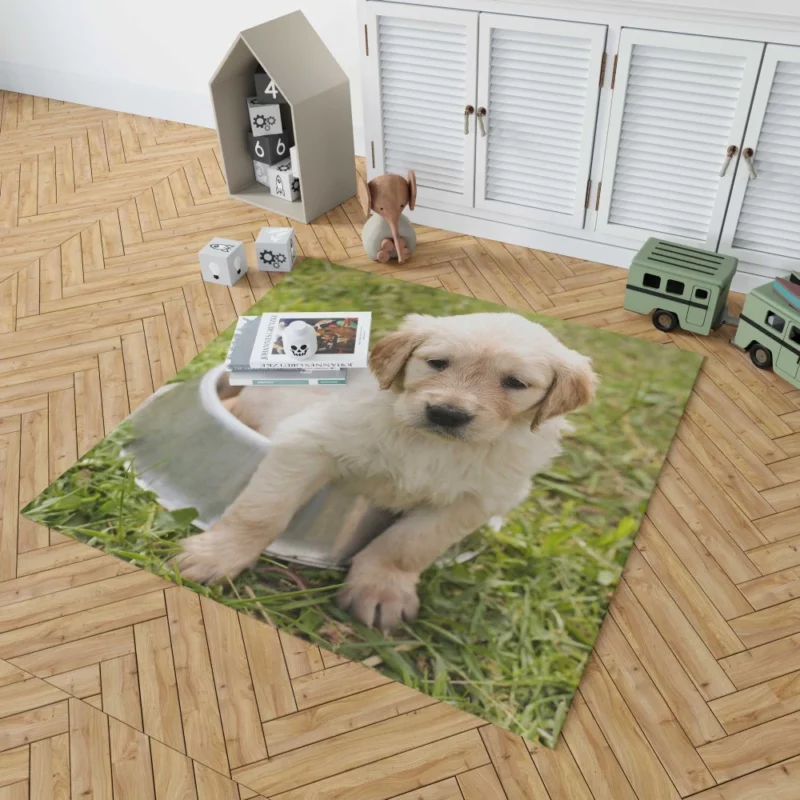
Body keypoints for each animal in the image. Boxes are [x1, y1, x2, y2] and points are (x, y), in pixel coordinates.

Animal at [177, 312, 600, 632]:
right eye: (437, 363)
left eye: (515, 383)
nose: (447, 414)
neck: (433, 445)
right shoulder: (311, 441)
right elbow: (261, 512)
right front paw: (216, 557)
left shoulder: (477, 499)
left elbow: (408, 545)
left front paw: (381, 590)